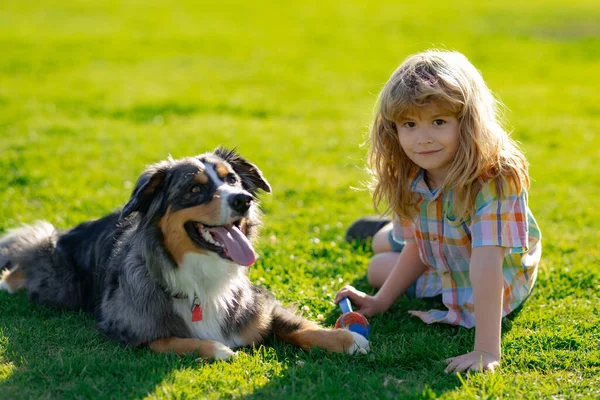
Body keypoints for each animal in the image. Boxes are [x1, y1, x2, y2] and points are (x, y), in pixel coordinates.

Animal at [0, 148, 368, 360]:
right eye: (194, 189)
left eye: (233, 180)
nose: (243, 200)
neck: (203, 279)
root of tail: (65, 234)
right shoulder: (125, 326)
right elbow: (171, 340)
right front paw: (217, 349)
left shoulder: (257, 305)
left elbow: (295, 325)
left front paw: (346, 338)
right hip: (60, 285)